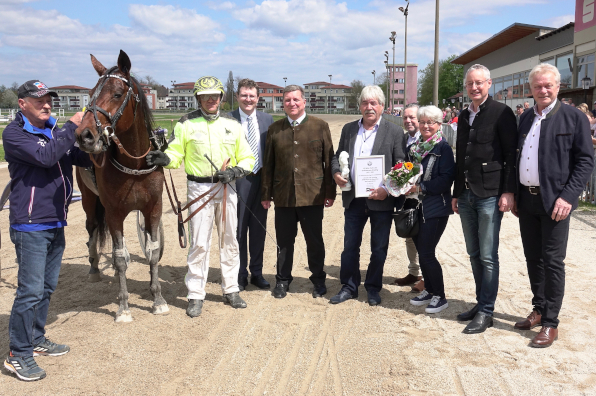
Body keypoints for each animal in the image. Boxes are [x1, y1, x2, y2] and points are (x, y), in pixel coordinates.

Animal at [75, 50, 168, 322]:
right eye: (90, 93)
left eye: (117, 93)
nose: (84, 135)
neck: (134, 164)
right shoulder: (114, 213)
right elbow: (118, 257)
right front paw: (124, 306)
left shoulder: (153, 209)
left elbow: (152, 251)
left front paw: (157, 298)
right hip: (89, 201)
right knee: (93, 232)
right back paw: (95, 268)